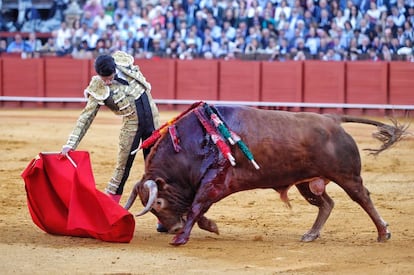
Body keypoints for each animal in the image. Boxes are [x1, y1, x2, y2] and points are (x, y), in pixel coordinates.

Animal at [123, 103, 408, 246]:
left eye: (158, 203)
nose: (172, 227)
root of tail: (332, 119)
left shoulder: (215, 181)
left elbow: (195, 207)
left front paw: (181, 238)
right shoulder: (209, 185)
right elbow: (198, 209)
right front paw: (210, 227)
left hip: (346, 176)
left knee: (363, 198)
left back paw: (383, 233)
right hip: (306, 182)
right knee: (326, 203)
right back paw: (311, 234)